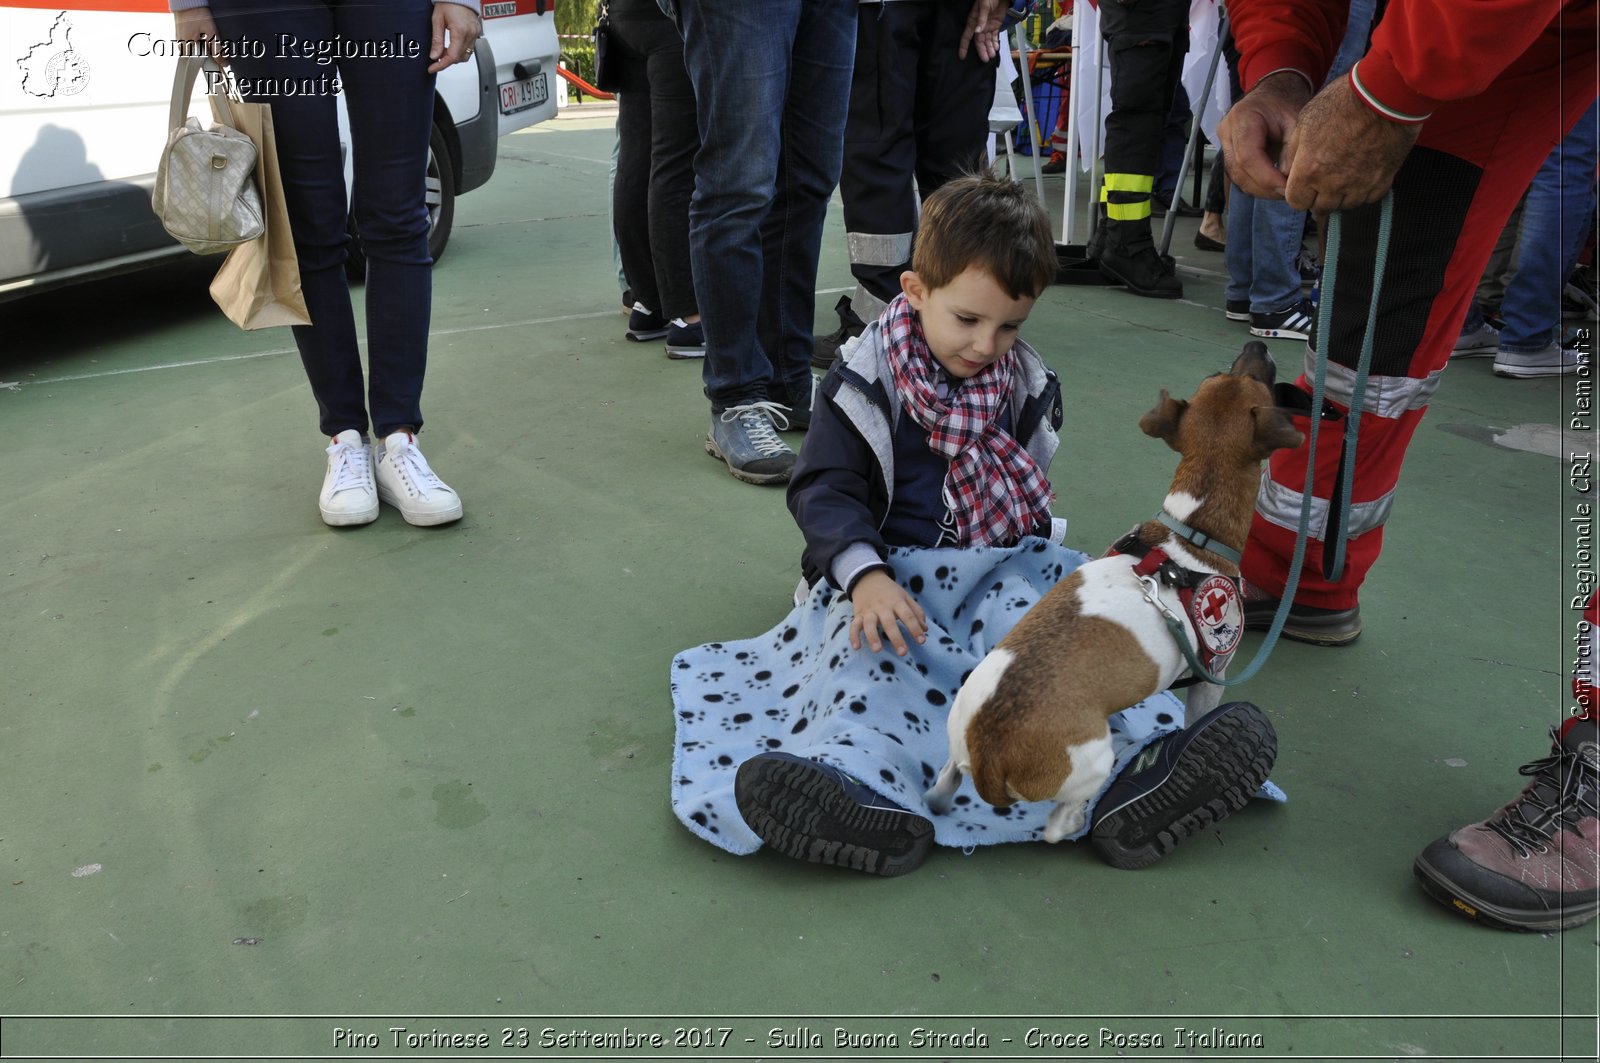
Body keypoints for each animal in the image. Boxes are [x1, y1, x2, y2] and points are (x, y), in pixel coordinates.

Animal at [928, 344, 1299, 845]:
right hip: (1092, 760)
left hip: (958, 735)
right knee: (1057, 826)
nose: (1255, 346)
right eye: (1256, 383)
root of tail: (989, 754)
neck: (1193, 531)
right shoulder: (1213, 673)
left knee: (944, 778)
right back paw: (1078, 817)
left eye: (1216, 373)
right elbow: (1197, 718)